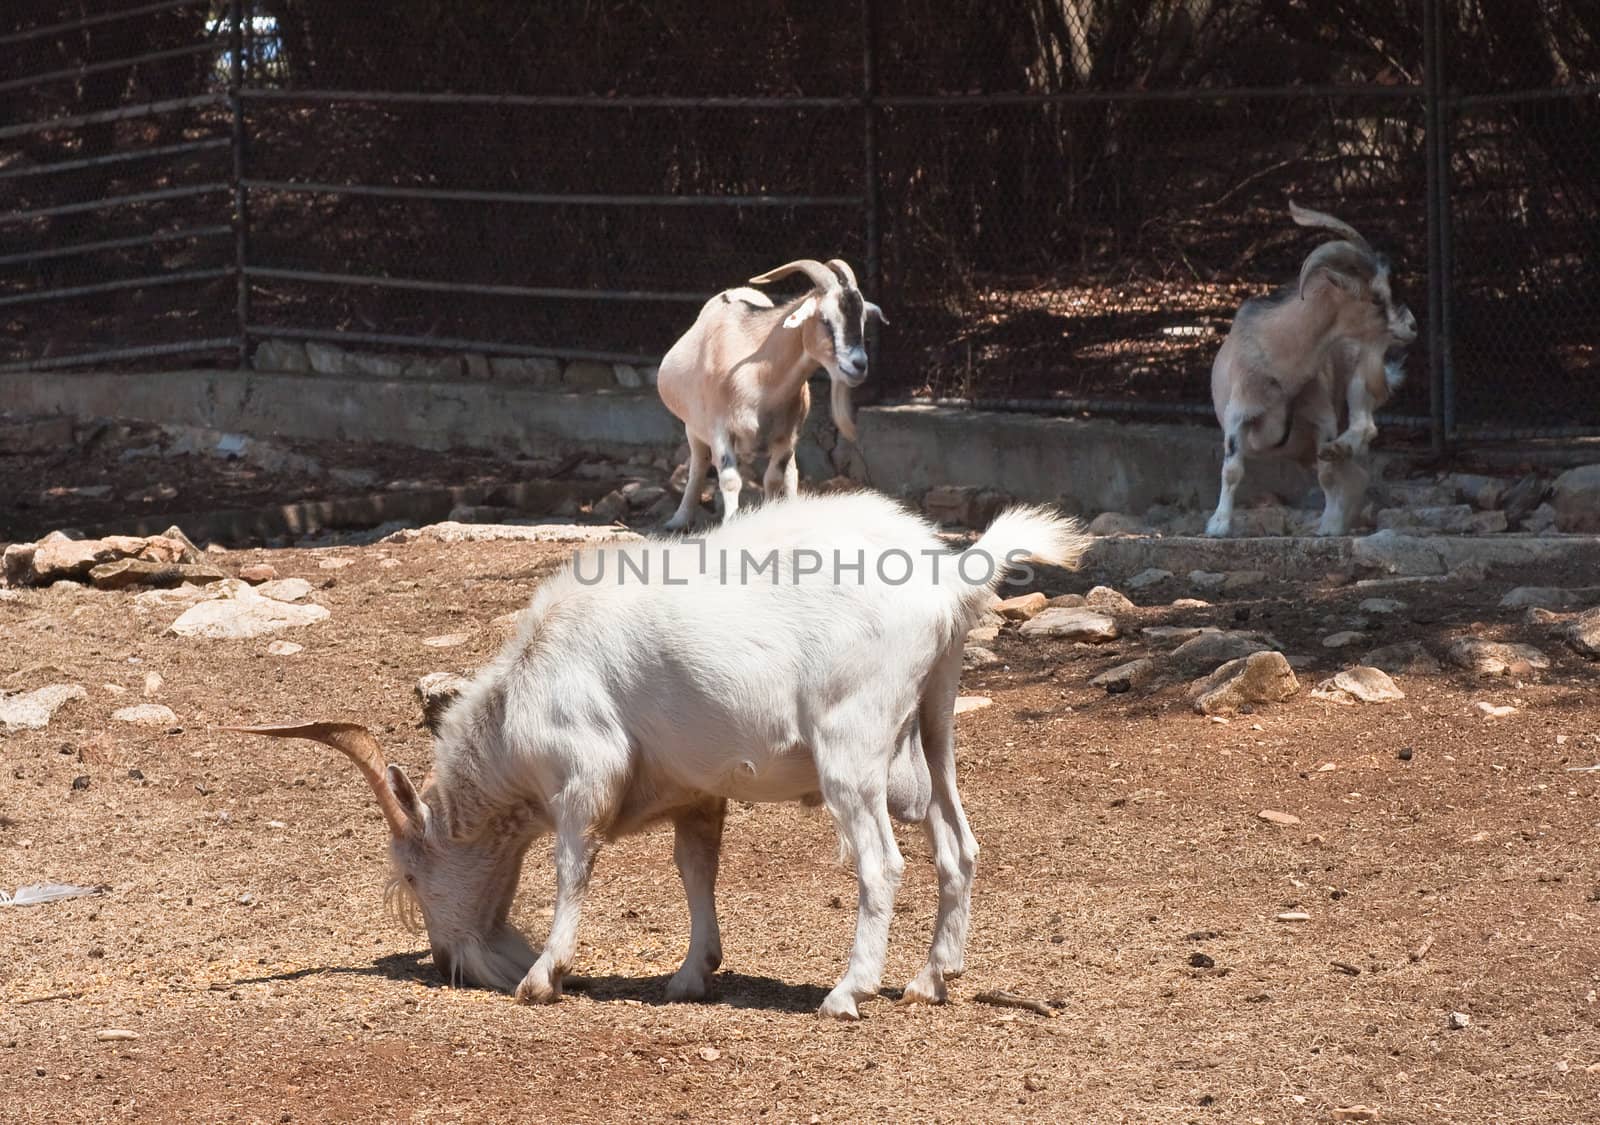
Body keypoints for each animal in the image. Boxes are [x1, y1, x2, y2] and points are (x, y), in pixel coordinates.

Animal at [225, 492, 1094, 1024]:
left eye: (410, 876)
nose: (443, 961)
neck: (525, 684)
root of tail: (948, 578)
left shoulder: (583, 775)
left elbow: (573, 868)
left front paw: (543, 976)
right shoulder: (694, 791)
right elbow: (695, 869)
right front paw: (690, 973)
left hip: (851, 748)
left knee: (881, 862)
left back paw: (848, 991)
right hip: (933, 725)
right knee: (957, 845)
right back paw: (929, 978)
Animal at [656, 259, 896, 531]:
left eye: (863, 319)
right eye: (825, 319)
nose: (859, 365)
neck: (759, 378)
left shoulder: (786, 435)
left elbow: (774, 478)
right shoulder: (719, 429)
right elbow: (730, 480)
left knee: (792, 473)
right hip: (693, 428)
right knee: (699, 464)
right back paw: (679, 519)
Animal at [1203, 201, 1420, 537]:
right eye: (1375, 297)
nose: (1412, 326)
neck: (1281, 363)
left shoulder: (1322, 418)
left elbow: (1328, 476)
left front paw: (1329, 525)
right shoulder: (1237, 416)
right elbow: (1232, 470)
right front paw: (1218, 525)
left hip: (1359, 377)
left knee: (1363, 429)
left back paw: (1338, 455)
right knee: (1356, 473)